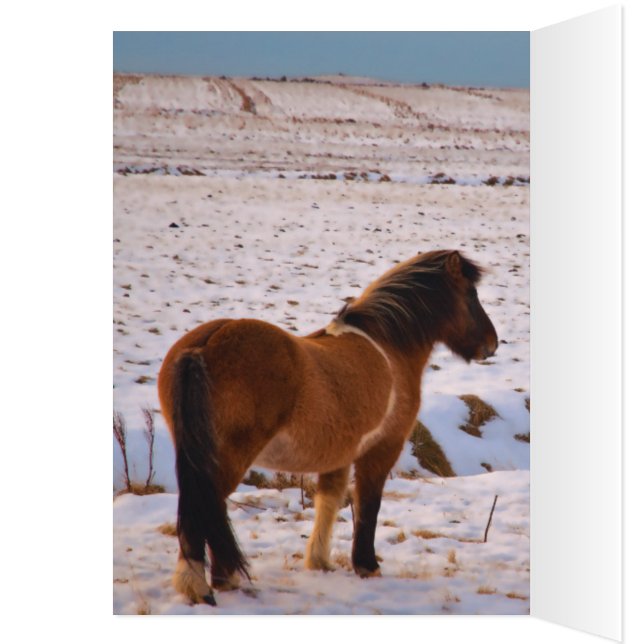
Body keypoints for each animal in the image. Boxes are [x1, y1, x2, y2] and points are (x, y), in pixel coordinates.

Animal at [157, 249, 498, 605]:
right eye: (471, 294)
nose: (492, 344)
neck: (389, 347)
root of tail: (204, 344)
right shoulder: (382, 450)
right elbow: (368, 504)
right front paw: (366, 565)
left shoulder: (339, 454)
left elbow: (329, 501)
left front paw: (319, 561)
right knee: (204, 506)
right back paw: (202, 586)